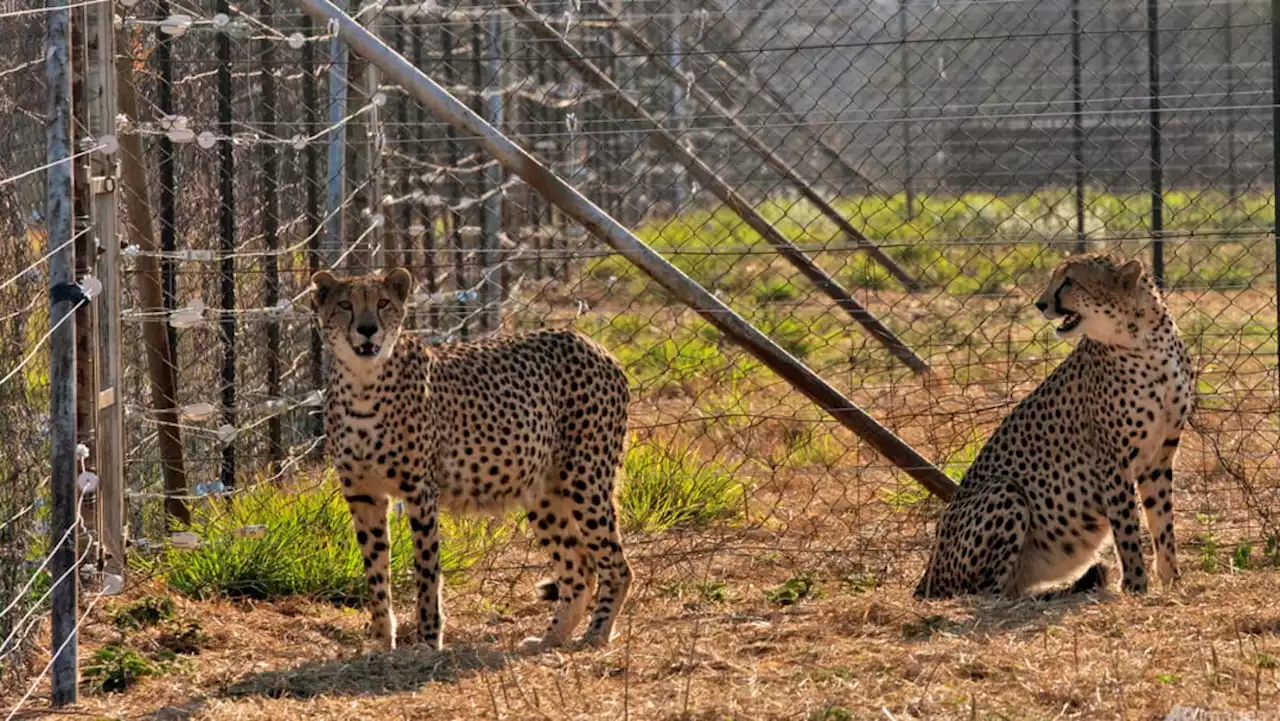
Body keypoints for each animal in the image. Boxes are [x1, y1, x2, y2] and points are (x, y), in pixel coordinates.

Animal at [309, 267, 629, 650]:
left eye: (383, 303)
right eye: (345, 305)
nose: (368, 328)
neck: (363, 383)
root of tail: (589, 342)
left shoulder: (420, 491)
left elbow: (427, 572)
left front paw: (428, 641)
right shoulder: (363, 495)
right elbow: (375, 572)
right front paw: (384, 644)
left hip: (586, 480)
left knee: (616, 565)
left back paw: (596, 634)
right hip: (543, 493)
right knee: (579, 566)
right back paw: (550, 639)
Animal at [916, 253, 1192, 599]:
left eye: (1069, 281)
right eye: (1055, 278)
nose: (1040, 303)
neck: (1146, 341)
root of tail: (926, 575)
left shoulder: (1159, 456)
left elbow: (1162, 521)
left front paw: (1172, 581)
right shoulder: (1112, 459)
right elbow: (1127, 527)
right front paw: (1135, 585)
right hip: (1004, 489)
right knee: (985, 590)